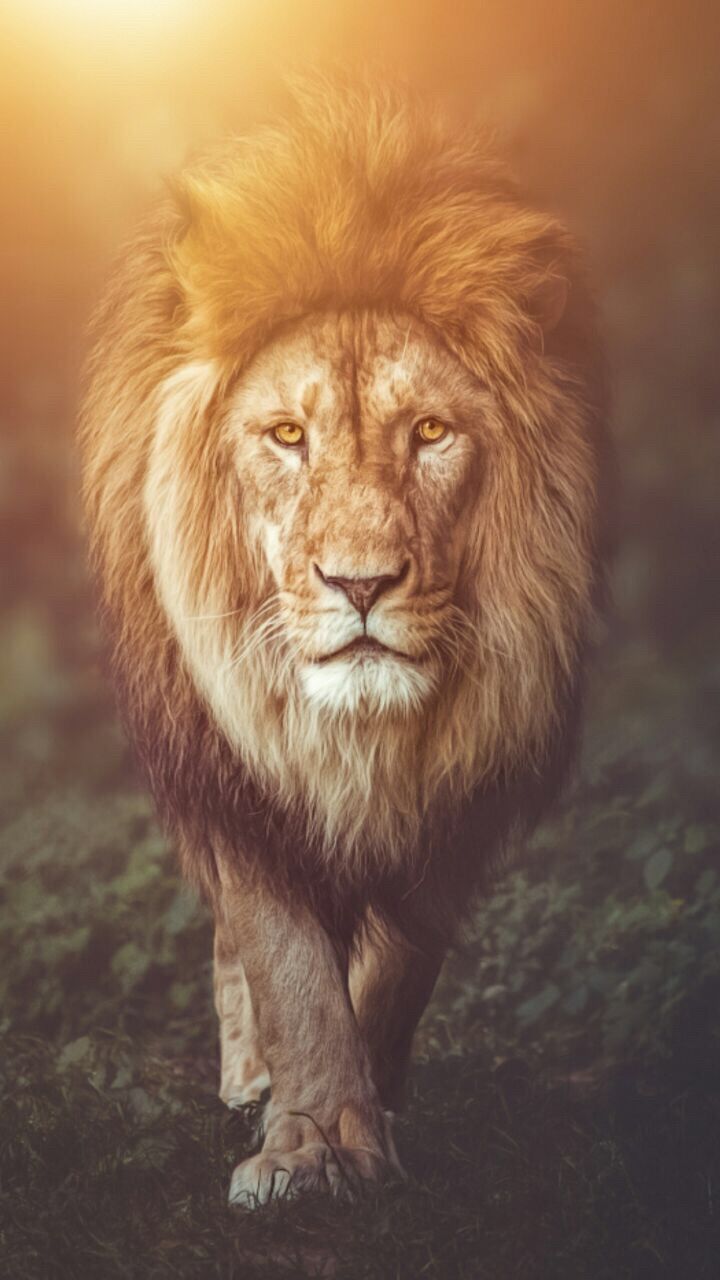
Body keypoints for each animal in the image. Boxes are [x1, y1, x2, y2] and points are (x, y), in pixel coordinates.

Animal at [79, 77, 608, 1206]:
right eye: (287, 435)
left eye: (431, 432)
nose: (360, 585)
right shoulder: (233, 767)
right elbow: (286, 960)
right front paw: (307, 1138)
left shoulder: (471, 776)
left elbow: (400, 964)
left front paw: (368, 1113)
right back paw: (249, 1077)